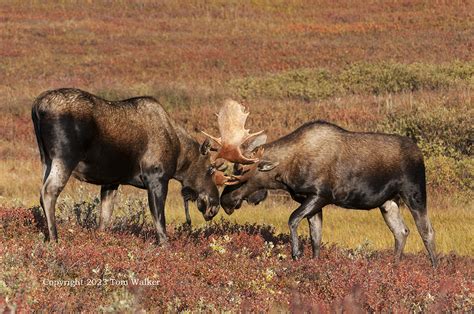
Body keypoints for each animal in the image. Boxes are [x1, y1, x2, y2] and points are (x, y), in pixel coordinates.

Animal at [32, 88, 222, 243]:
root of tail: (37, 107)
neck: (180, 155)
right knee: (49, 191)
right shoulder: (156, 178)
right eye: (210, 169)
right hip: (64, 158)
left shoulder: (111, 182)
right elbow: (159, 220)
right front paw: (164, 245)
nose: (215, 205)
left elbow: (105, 218)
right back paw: (54, 238)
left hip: (46, 159)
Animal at [206, 100, 438, 268]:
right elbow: (316, 238)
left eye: (241, 171)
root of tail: (420, 153)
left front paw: (296, 253)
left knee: (426, 230)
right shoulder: (312, 201)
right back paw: (394, 266)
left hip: (414, 192)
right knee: (401, 231)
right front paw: (313, 262)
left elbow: (292, 219)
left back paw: (435, 268)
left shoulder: (321, 195)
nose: (225, 201)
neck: (286, 173)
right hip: (388, 202)